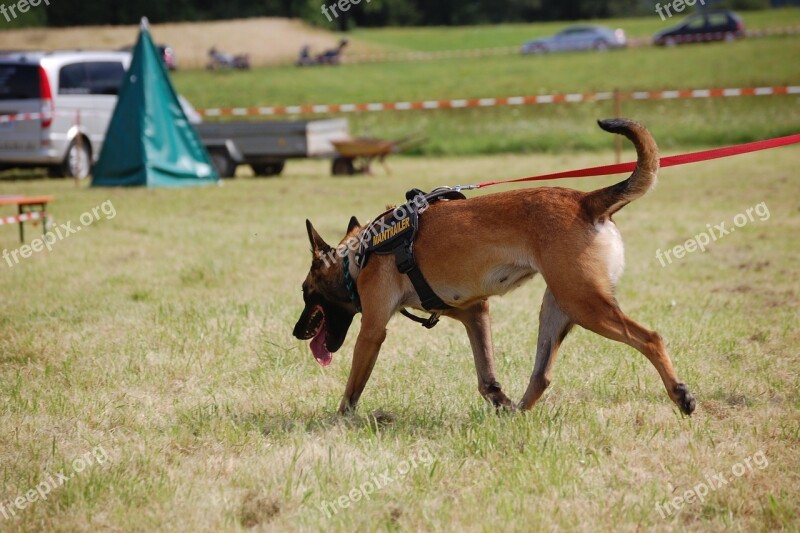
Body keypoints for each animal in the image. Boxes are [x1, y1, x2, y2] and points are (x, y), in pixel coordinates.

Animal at [292, 119, 692, 416]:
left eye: (307, 292)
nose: (296, 332)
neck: (362, 252)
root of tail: (585, 201)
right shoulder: (474, 313)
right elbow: (486, 376)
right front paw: (498, 400)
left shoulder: (372, 331)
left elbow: (352, 387)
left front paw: (339, 421)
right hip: (558, 307)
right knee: (542, 374)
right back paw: (517, 413)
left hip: (585, 304)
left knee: (650, 338)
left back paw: (680, 394)